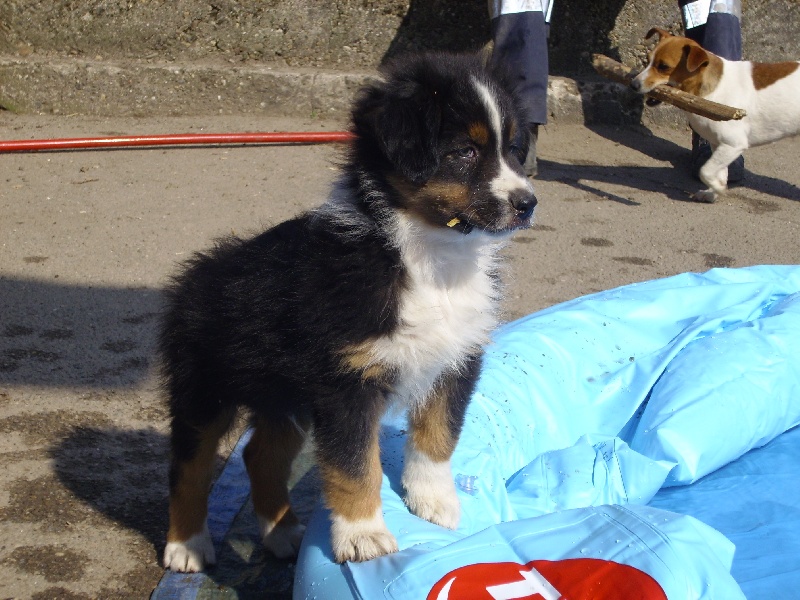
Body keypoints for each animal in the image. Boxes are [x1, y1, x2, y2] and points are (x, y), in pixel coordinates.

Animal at [159, 51, 536, 572]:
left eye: (515, 149)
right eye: (464, 151)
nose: (528, 204)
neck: (432, 259)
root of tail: (197, 273)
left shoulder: (455, 361)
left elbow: (438, 437)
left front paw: (434, 503)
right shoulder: (347, 383)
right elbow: (356, 465)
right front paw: (364, 538)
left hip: (285, 396)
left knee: (261, 455)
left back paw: (282, 533)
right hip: (204, 387)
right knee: (188, 466)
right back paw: (188, 546)